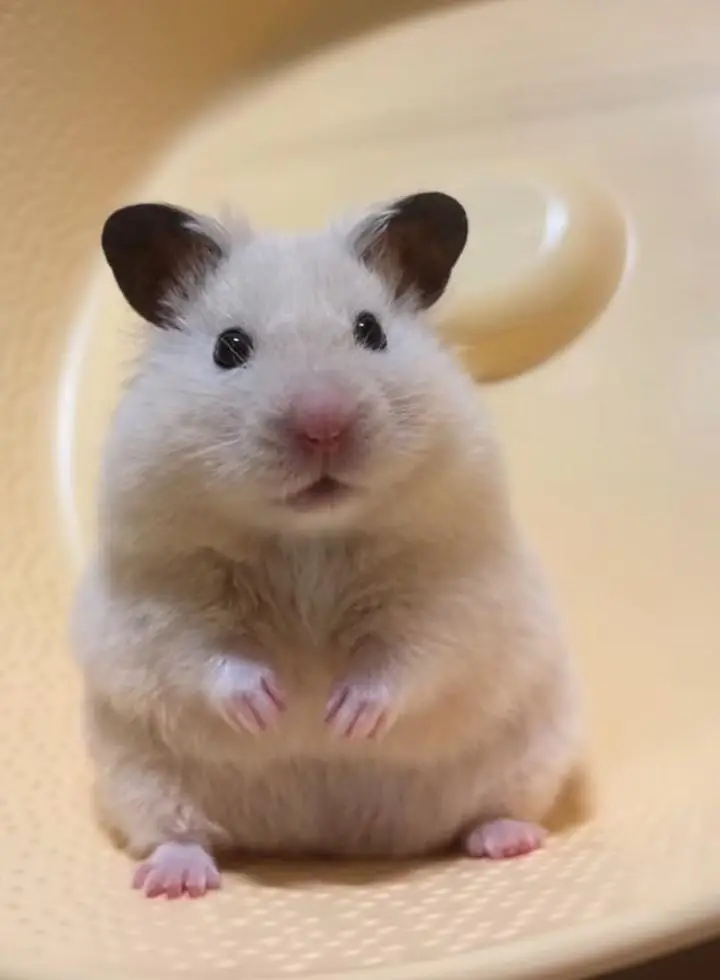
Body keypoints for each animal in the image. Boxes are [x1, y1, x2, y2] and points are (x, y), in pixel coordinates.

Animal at [72, 191, 583, 899]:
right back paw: (174, 879)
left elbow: (410, 658)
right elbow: (204, 655)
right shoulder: (163, 594)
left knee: (493, 809)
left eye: (371, 331)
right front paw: (271, 708)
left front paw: (342, 718)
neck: (307, 540)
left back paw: (505, 840)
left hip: (531, 753)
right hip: (138, 777)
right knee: (176, 831)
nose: (323, 425)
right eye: (230, 347)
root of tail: (326, 837)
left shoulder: (448, 587)